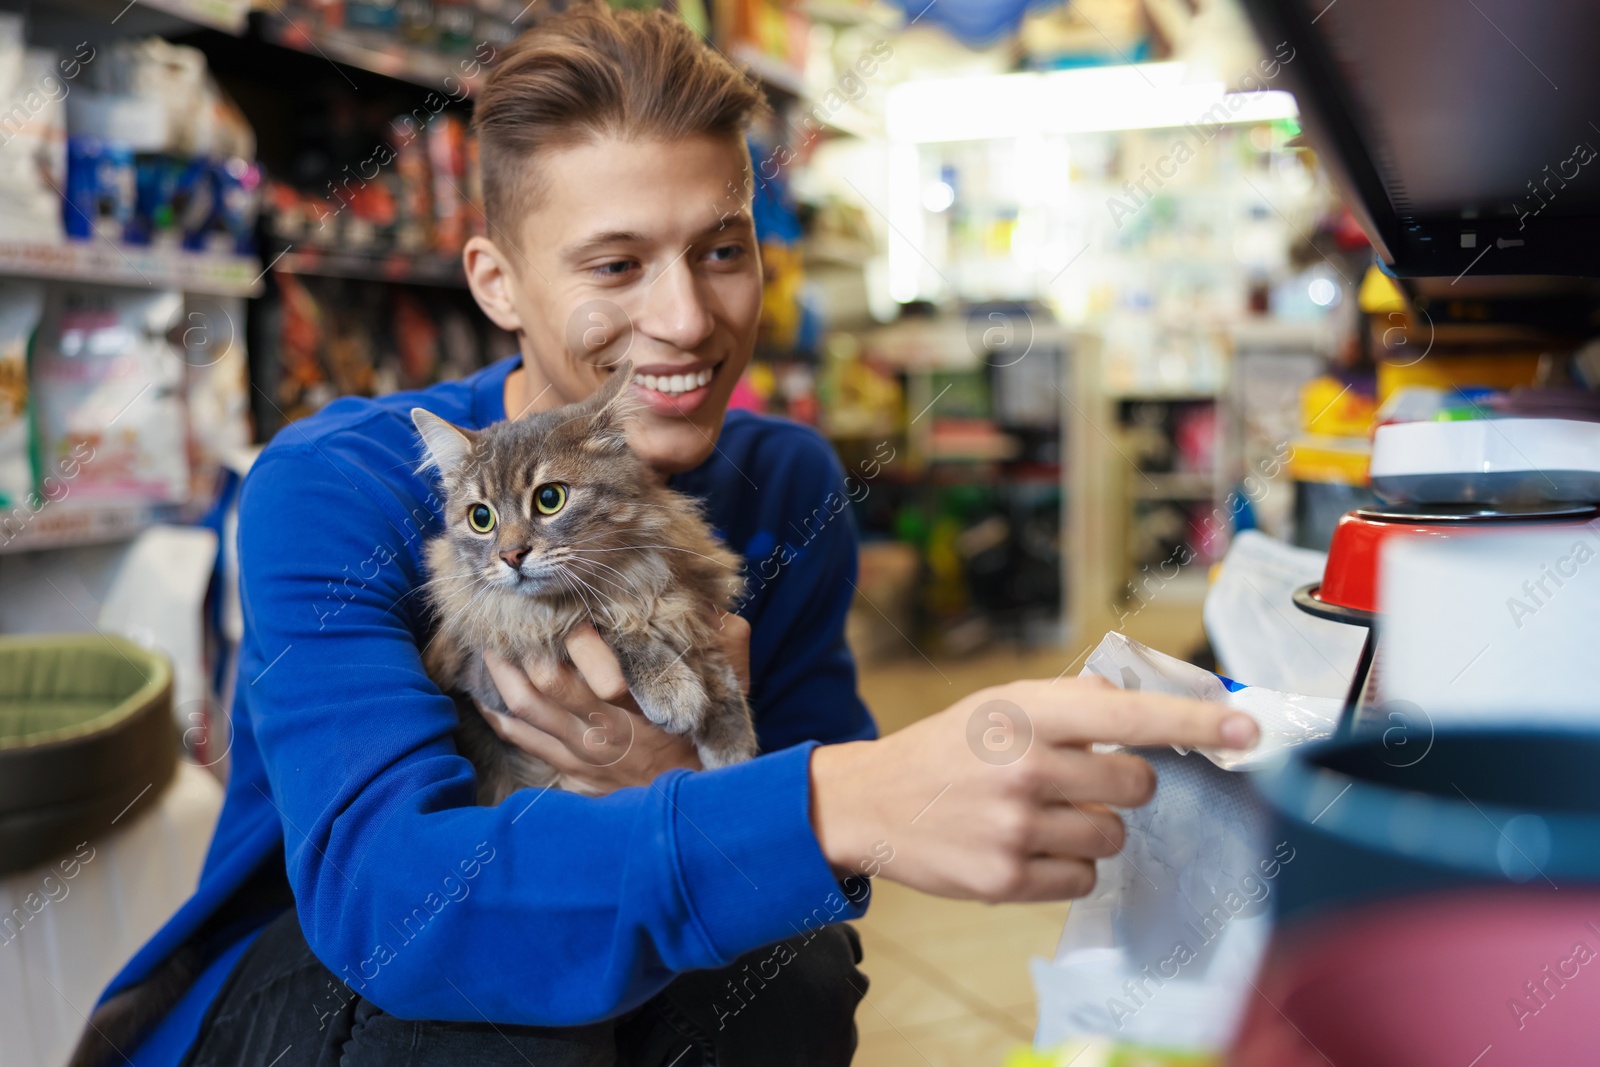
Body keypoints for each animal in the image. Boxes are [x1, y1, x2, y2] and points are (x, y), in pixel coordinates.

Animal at [412, 361, 761, 799]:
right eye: (481, 518)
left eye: (549, 499)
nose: (511, 556)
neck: (632, 576)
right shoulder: (488, 674)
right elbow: (600, 621)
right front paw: (672, 689)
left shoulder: (692, 589)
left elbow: (709, 654)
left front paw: (729, 738)